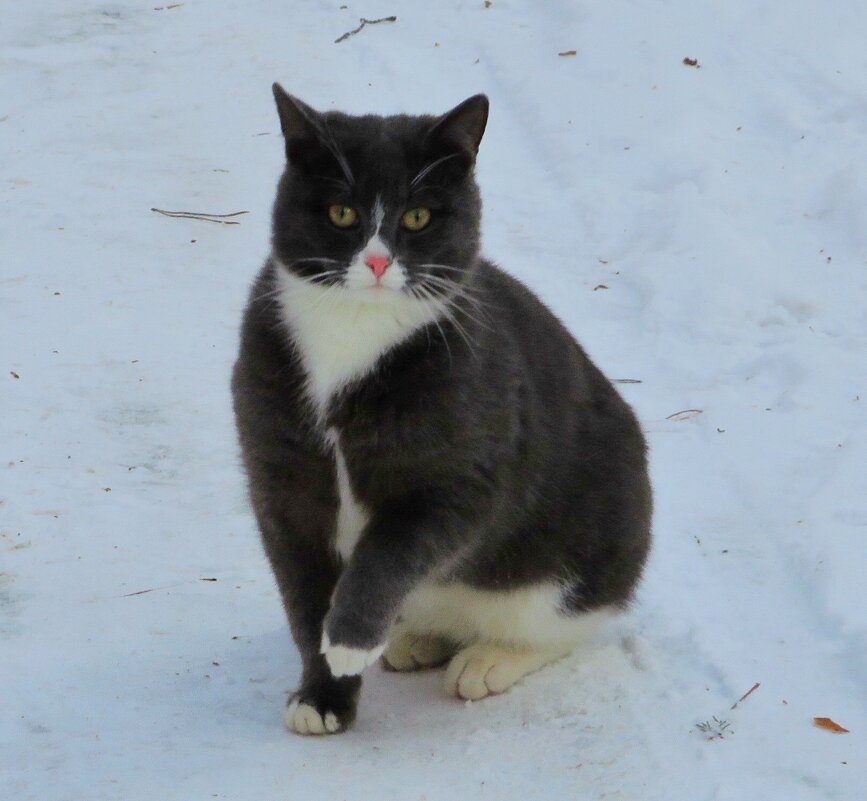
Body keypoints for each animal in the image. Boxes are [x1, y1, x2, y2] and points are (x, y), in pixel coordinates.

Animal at [231, 84, 652, 736]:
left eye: (418, 216)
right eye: (342, 213)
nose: (378, 263)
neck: (353, 332)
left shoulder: (460, 476)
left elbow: (391, 550)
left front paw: (348, 640)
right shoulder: (282, 482)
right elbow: (304, 598)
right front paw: (323, 695)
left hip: (585, 543)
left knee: (570, 618)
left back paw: (488, 659)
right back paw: (415, 640)